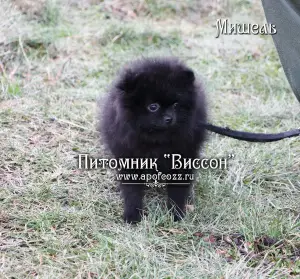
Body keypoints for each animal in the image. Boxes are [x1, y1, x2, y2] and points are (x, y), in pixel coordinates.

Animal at [98, 56, 206, 223]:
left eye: (176, 104)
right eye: (153, 107)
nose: (169, 118)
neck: (156, 138)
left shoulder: (183, 158)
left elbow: (178, 190)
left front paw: (176, 213)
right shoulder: (128, 158)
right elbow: (132, 190)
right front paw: (133, 214)